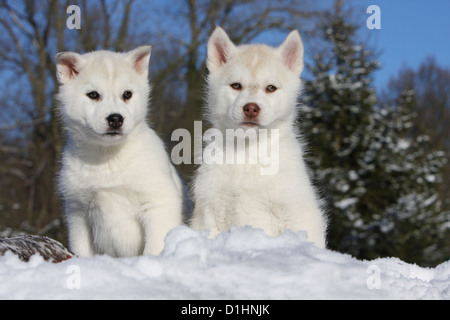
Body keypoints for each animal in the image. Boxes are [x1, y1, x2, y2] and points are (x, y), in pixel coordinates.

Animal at [56, 46, 183, 256]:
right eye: (93, 95)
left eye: (127, 94)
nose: (115, 119)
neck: (108, 159)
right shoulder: (78, 212)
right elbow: (81, 250)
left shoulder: (158, 204)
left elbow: (154, 247)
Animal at [191, 27, 326, 248]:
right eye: (236, 85)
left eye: (271, 88)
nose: (251, 108)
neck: (248, 152)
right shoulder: (209, 212)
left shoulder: (298, 214)